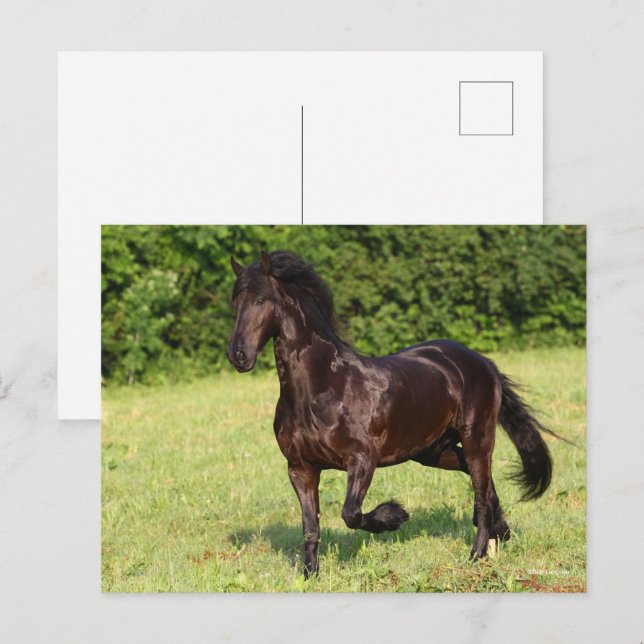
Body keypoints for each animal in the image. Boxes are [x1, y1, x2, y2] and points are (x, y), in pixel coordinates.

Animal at [227, 250, 557, 578]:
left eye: (261, 300)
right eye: (236, 302)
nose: (238, 355)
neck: (320, 388)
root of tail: (481, 361)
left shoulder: (362, 459)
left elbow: (351, 513)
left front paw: (395, 516)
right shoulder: (300, 468)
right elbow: (310, 528)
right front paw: (310, 576)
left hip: (477, 439)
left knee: (481, 489)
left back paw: (476, 554)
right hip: (433, 451)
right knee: (483, 485)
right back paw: (500, 534)